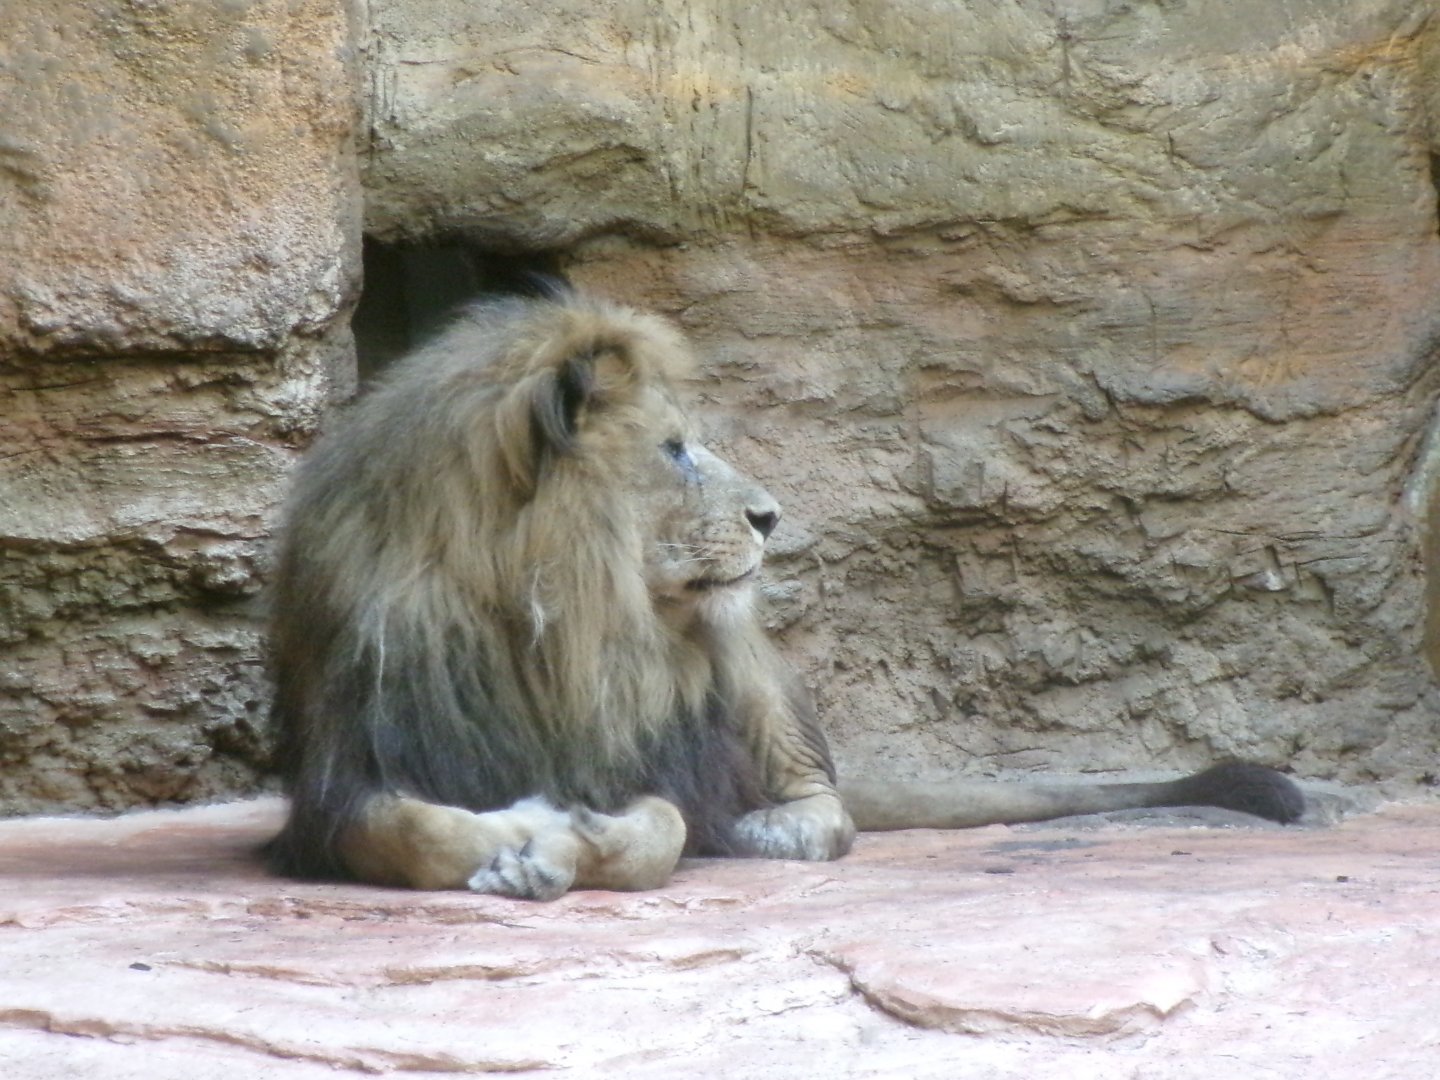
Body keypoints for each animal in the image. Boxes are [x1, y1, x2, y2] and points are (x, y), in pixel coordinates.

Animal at [265, 287, 1304, 899]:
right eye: (675, 449)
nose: (771, 516)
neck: (560, 628)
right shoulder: (342, 783)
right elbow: (408, 832)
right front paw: (514, 836)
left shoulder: (655, 758)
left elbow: (664, 828)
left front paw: (566, 841)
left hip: (747, 657)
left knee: (828, 802)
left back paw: (773, 829)